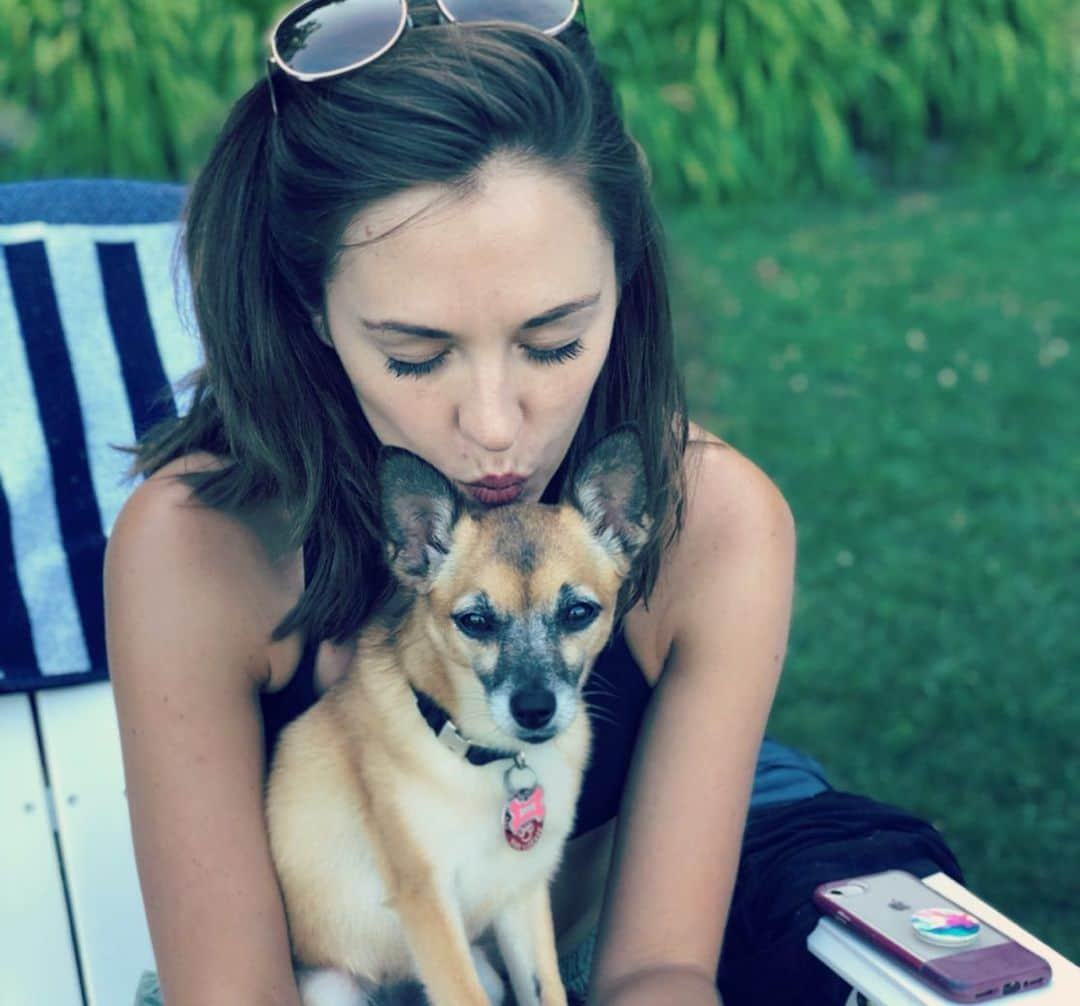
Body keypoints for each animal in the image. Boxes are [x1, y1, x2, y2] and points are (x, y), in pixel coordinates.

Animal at [265, 427, 652, 1006]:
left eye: (579, 613)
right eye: (475, 621)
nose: (534, 709)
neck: (493, 759)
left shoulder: (521, 897)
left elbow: (546, 990)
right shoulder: (428, 906)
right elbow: (461, 993)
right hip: (330, 987)